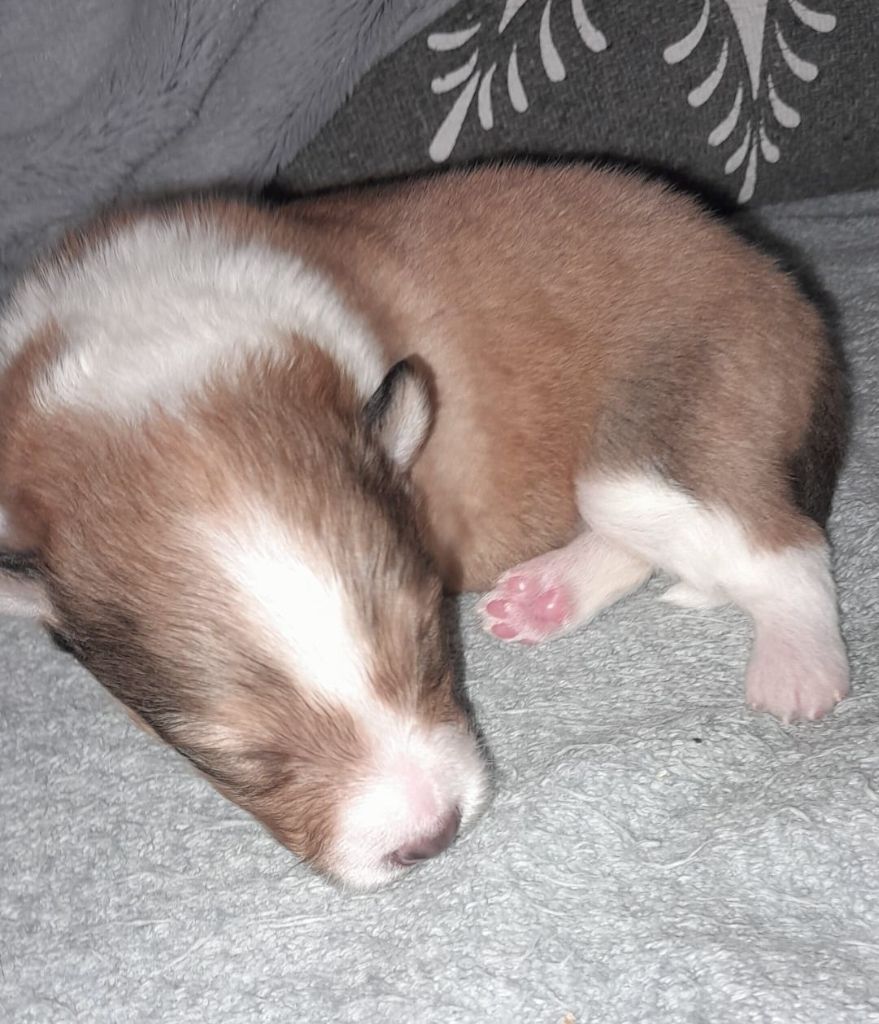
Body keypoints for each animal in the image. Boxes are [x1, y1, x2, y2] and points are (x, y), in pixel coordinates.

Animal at [0, 163, 844, 884]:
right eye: (249, 758)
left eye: (431, 645)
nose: (431, 838)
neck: (160, 380)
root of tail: (774, 275)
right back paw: (543, 596)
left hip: (664, 425)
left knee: (778, 543)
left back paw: (797, 669)